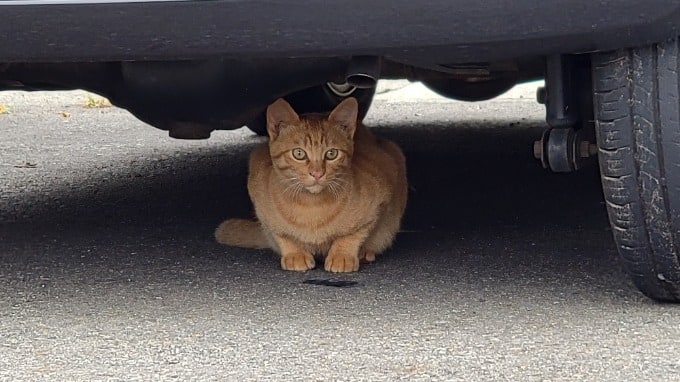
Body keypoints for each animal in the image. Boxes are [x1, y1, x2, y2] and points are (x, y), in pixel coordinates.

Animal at [215, 97, 406, 274]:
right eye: (299, 153)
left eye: (331, 154)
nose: (317, 173)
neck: (311, 207)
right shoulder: (259, 199)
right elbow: (281, 234)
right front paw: (295, 253)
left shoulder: (382, 194)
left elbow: (353, 234)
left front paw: (342, 254)